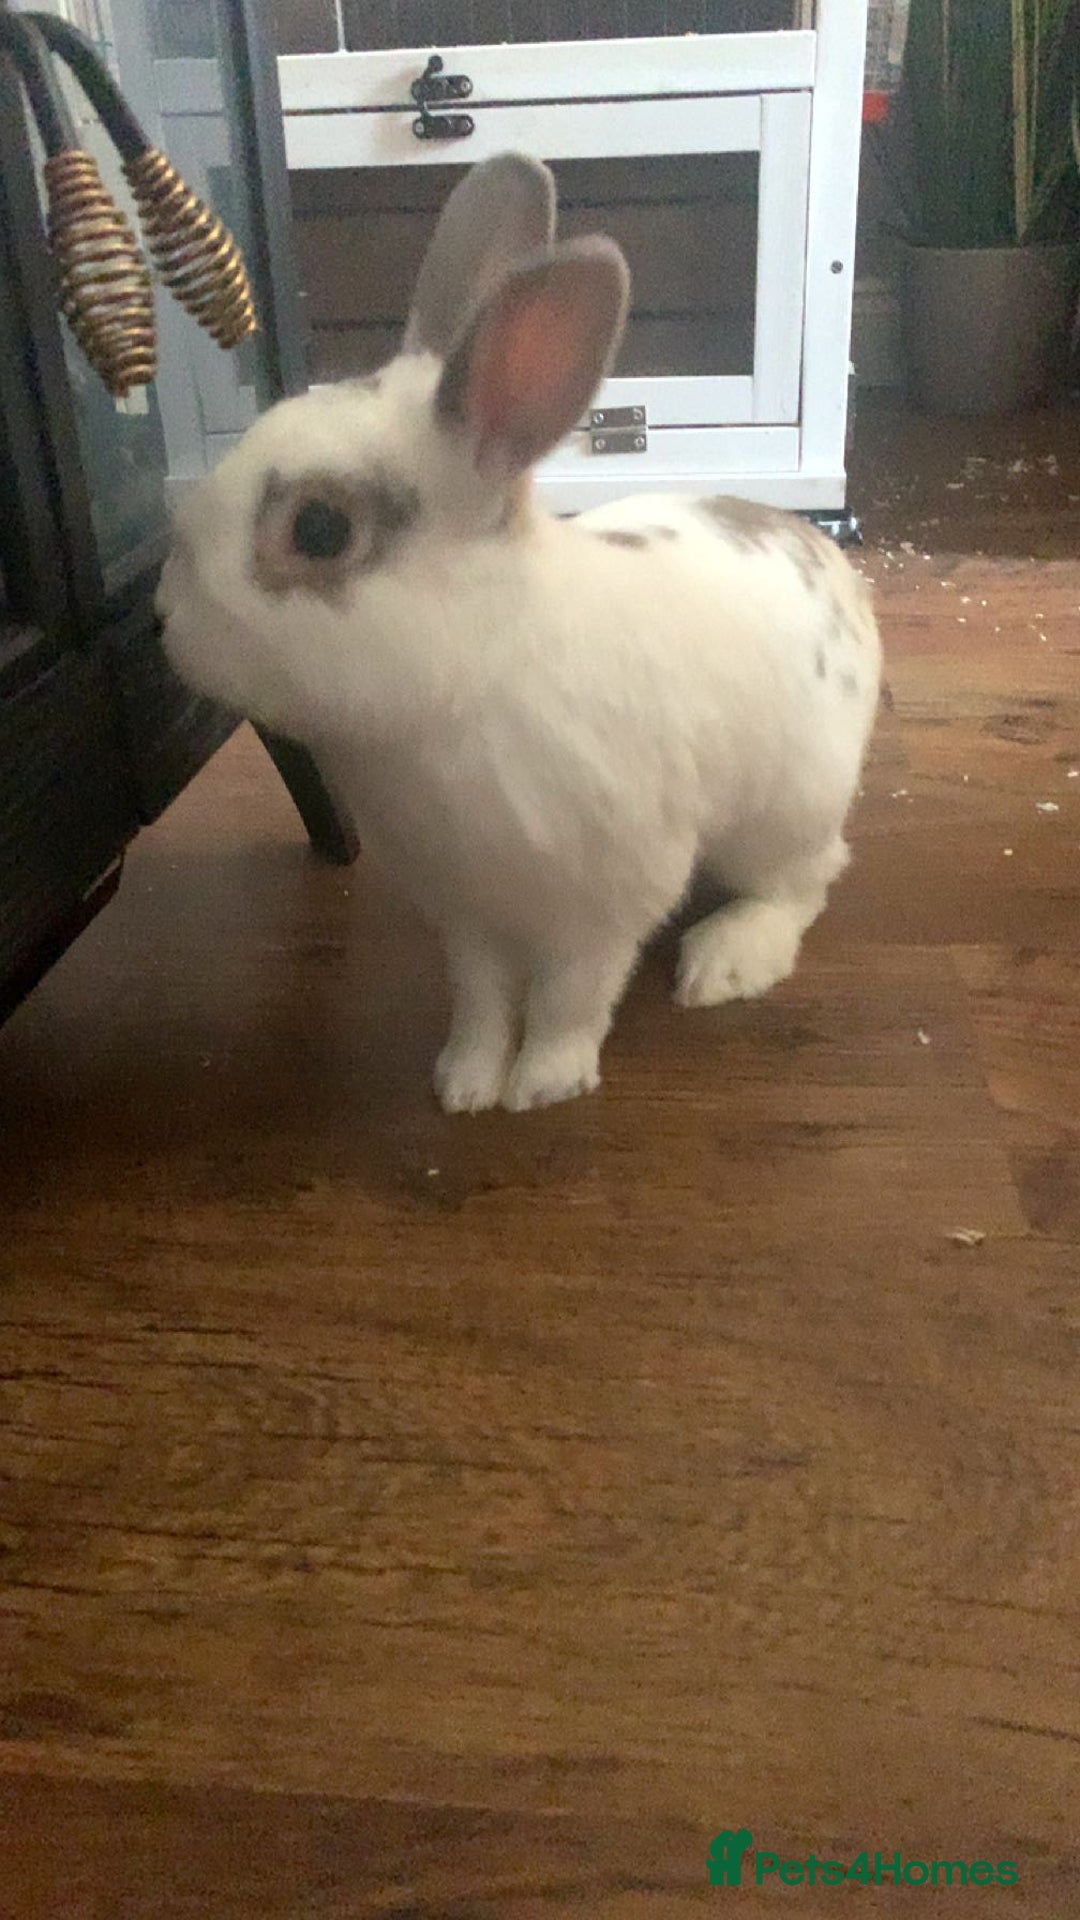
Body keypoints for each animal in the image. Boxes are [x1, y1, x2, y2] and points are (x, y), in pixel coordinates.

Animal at [158, 152, 881, 1114]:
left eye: (319, 529)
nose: (165, 615)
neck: (473, 682)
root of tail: (834, 566)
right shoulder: (467, 919)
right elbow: (483, 999)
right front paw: (464, 1084)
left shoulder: (604, 904)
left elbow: (574, 994)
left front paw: (544, 1084)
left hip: (786, 810)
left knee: (807, 882)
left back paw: (726, 962)